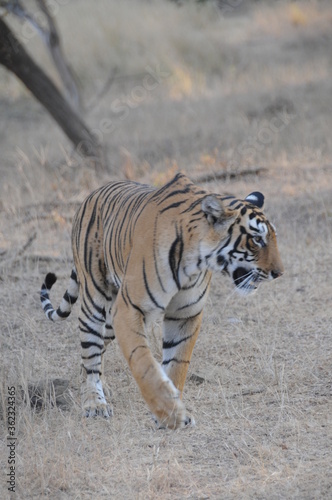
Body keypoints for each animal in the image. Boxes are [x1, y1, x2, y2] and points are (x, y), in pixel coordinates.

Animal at [39, 173, 282, 430]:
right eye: (256, 239)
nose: (279, 273)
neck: (195, 261)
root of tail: (91, 194)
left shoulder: (185, 314)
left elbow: (177, 363)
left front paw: (173, 413)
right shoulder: (129, 309)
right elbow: (143, 363)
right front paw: (168, 412)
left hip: (111, 318)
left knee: (94, 352)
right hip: (95, 301)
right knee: (90, 351)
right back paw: (94, 402)